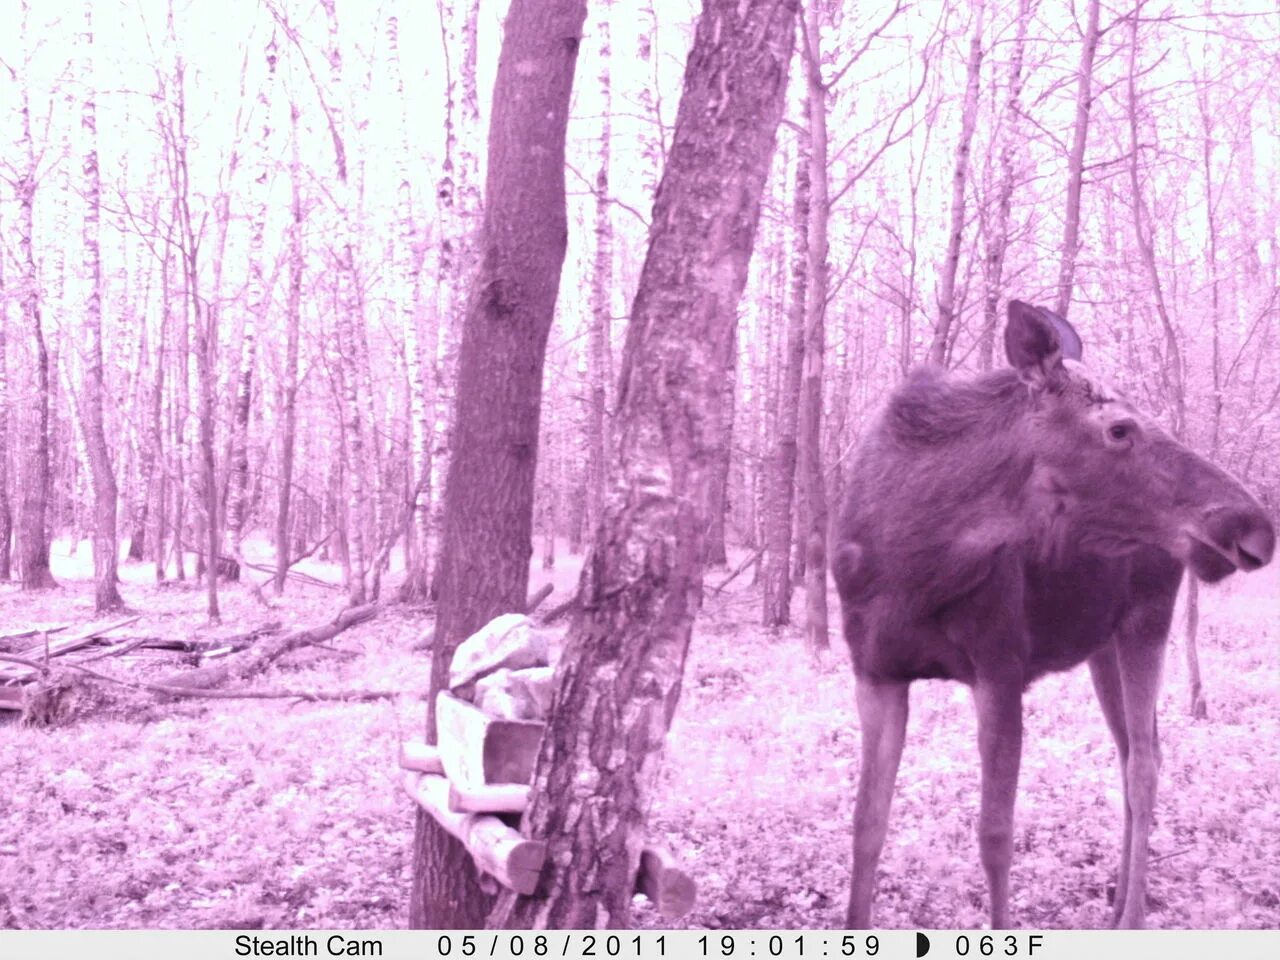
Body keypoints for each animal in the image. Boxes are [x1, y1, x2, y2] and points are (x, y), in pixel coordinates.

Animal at [834, 302, 1274, 931]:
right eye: (1119, 428)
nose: (1254, 525)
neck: (913, 562)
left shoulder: (1000, 666)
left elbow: (995, 836)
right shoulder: (875, 672)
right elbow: (866, 826)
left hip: (1148, 619)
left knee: (1146, 763)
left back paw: (1132, 918)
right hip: (1102, 644)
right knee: (1132, 751)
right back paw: (1117, 905)